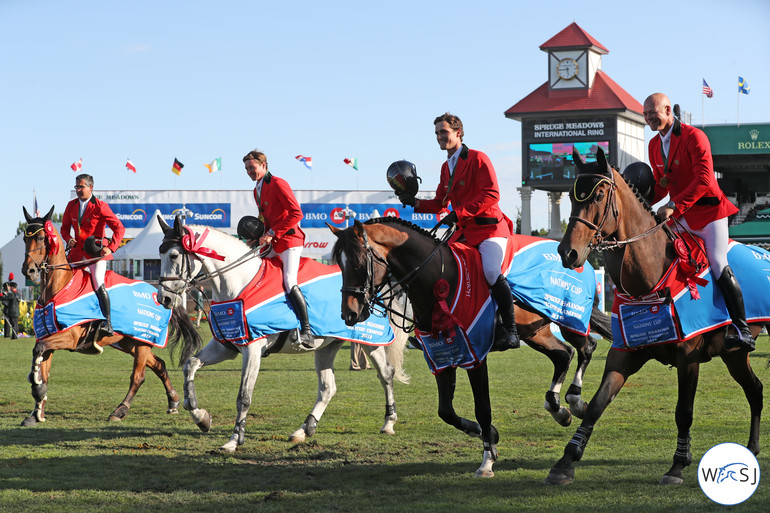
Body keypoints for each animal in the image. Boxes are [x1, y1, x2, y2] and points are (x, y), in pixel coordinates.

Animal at [20, 206, 201, 426]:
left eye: (40, 238)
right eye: (24, 238)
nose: (28, 270)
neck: (59, 287)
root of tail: (160, 295)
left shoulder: (69, 338)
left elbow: (38, 351)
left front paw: (37, 389)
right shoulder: (49, 339)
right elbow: (43, 368)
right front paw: (36, 411)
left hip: (142, 341)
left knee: (138, 377)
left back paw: (120, 411)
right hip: (129, 342)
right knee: (159, 364)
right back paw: (173, 402)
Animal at [156, 216, 408, 452]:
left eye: (175, 255)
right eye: (161, 254)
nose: (164, 299)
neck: (241, 283)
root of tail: (373, 287)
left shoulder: (252, 349)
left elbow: (243, 397)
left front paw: (234, 440)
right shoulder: (225, 346)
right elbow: (190, 365)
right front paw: (200, 417)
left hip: (369, 341)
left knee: (386, 374)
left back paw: (389, 422)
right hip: (326, 346)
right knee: (328, 388)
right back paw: (304, 430)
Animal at [330, 216, 612, 476]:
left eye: (357, 264)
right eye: (339, 265)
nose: (349, 315)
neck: (440, 277)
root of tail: (578, 260)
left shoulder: (476, 356)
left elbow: (483, 408)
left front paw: (487, 459)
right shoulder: (441, 356)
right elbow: (446, 411)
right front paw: (484, 434)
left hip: (569, 319)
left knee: (586, 347)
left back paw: (575, 400)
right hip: (535, 331)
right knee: (563, 355)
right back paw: (559, 409)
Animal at [544, 148, 760, 484]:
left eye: (599, 195)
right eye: (570, 195)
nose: (568, 253)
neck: (649, 278)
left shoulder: (689, 359)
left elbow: (684, 412)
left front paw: (678, 465)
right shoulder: (622, 354)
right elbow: (596, 406)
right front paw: (566, 461)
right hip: (734, 354)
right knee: (755, 390)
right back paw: (751, 448)